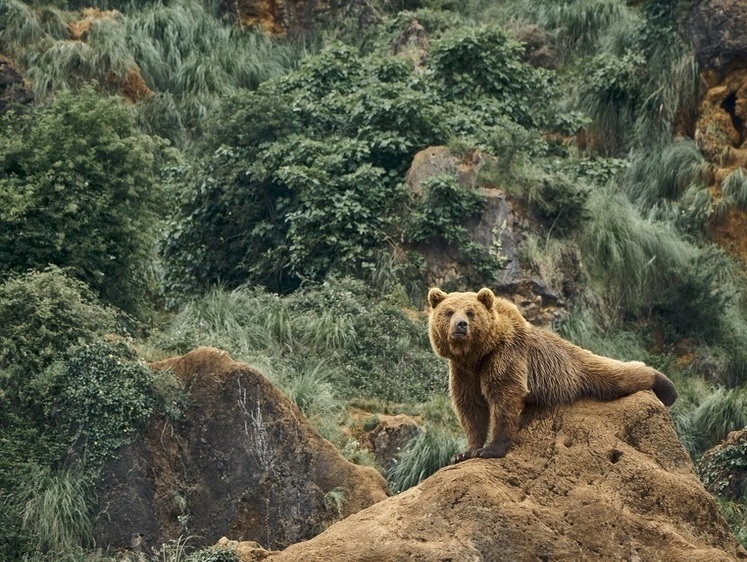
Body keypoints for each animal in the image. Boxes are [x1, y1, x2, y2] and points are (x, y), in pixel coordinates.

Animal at [426, 286, 676, 462]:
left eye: (471, 312)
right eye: (448, 312)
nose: (460, 325)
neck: (477, 354)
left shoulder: (505, 355)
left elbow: (505, 397)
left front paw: (491, 449)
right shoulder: (463, 372)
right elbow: (471, 407)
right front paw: (466, 452)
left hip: (575, 369)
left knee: (617, 374)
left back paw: (666, 387)